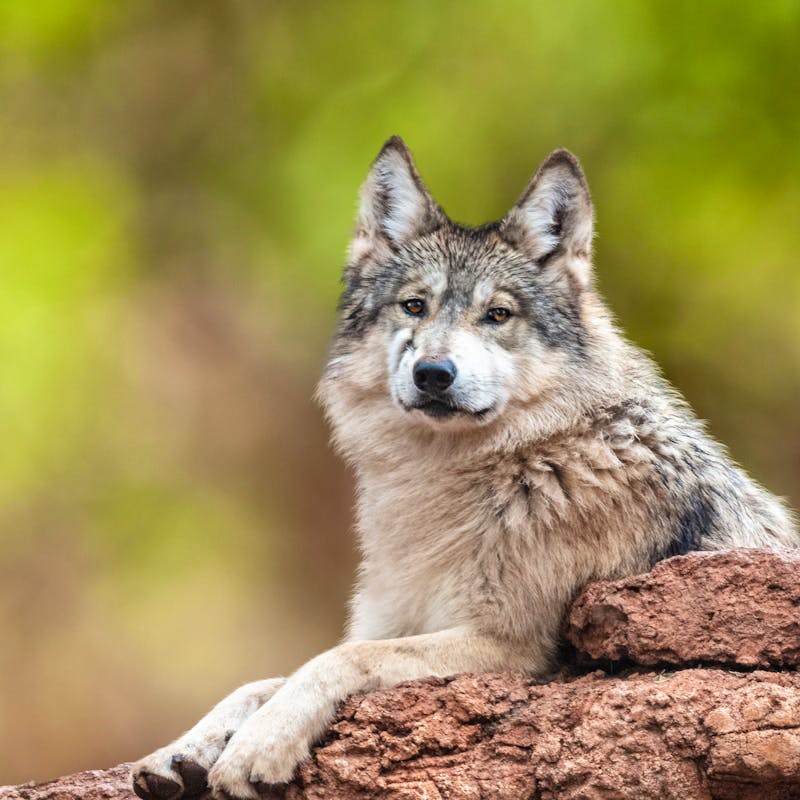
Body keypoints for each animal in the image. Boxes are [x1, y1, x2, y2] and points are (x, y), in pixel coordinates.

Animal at [130, 138, 792, 800]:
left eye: (497, 314)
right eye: (414, 306)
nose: (433, 373)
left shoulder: (509, 648)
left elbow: (333, 661)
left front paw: (258, 747)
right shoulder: (392, 622)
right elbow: (261, 682)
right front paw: (179, 751)